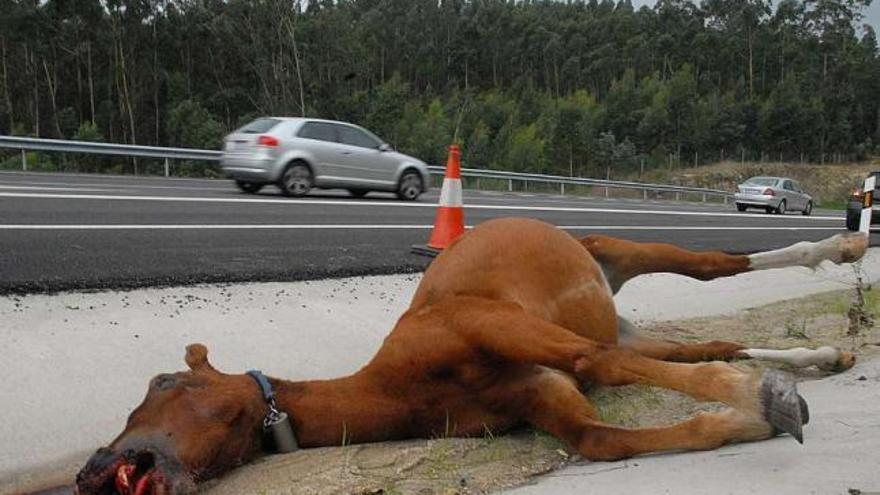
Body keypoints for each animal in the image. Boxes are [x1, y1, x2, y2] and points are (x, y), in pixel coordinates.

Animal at [75, 217, 867, 495]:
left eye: (162, 380)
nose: (89, 471)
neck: (403, 382)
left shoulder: (510, 331)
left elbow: (601, 369)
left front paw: (763, 399)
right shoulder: (546, 397)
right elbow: (606, 440)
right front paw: (749, 417)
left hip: (616, 251)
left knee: (713, 265)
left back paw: (841, 246)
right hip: (623, 319)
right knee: (708, 338)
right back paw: (824, 353)